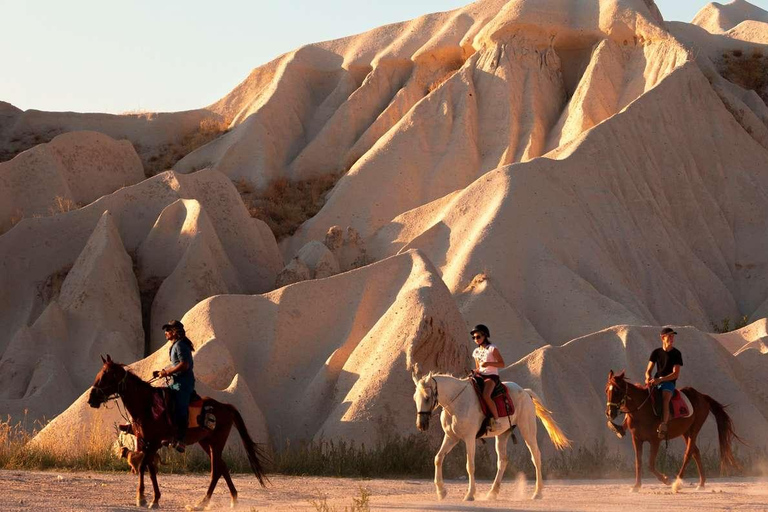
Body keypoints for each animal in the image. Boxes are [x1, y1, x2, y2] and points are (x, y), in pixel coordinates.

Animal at [86, 356, 266, 508]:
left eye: (105, 376)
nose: (91, 399)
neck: (147, 406)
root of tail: (225, 407)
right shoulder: (144, 441)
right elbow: (150, 468)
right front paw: (154, 499)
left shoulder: (155, 442)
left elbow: (143, 465)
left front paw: (142, 498)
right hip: (205, 442)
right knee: (222, 467)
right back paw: (233, 500)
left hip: (216, 443)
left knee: (216, 471)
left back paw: (202, 503)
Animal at [414, 370, 568, 502]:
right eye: (415, 398)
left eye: (427, 398)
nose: (421, 424)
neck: (457, 402)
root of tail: (525, 392)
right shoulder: (451, 437)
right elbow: (438, 458)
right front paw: (441, 491)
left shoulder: (469, 438)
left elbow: (470, 465)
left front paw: (470, 494)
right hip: (502, 435)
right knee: (502, 461)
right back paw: (493, 492)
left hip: (527, 431)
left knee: (535, 456)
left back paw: (537, 493)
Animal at [608, 368, 736, 492]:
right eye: (606, 391)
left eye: (617, 391)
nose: (610, 413)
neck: (642, 410)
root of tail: (702, 397)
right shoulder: (636, 439)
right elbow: (638, 462)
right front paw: (636, 486)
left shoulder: (655, 440)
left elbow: (650, 464)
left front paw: (666, 480)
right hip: (685, 432)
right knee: (695, 452)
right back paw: (701, 483)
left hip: (694, 429)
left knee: (688, 453)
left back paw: (677, 483)